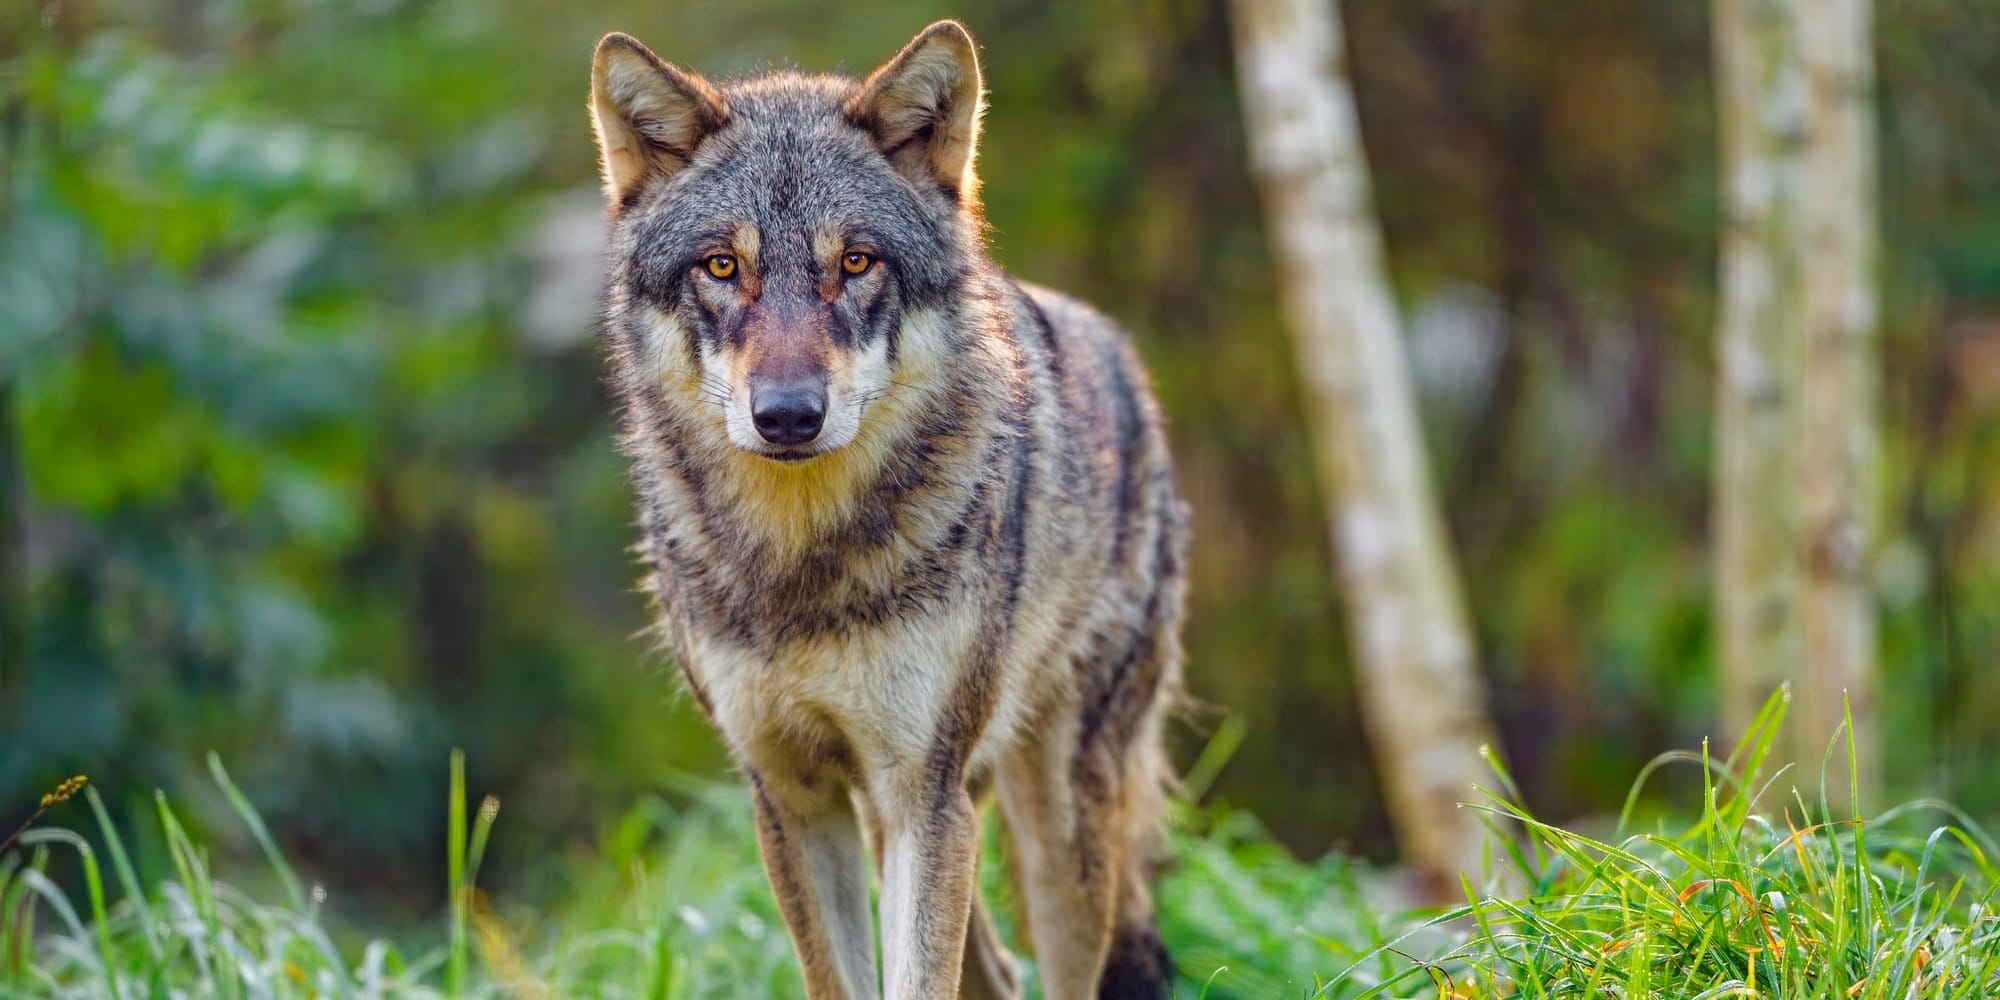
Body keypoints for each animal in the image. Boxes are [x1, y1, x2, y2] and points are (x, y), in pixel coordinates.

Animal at [588, 19, 1184, 996]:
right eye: (724, 266)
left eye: (856, 262)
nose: (789, 414)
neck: (802, 560)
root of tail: (1122, 354)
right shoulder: (793, 795)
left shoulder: (920, 792)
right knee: (996, 973)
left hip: (1051, 820)